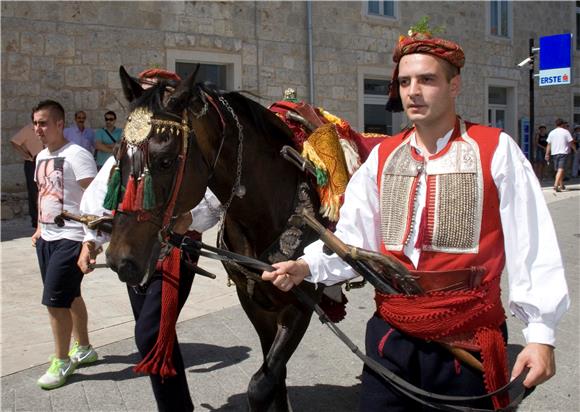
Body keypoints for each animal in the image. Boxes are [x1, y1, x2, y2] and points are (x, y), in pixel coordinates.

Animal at [107, 66, 326, 410]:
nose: (120, 260)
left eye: (166, 161)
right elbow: (275, 377)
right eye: (118, 156)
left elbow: (261, 385)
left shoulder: (301, 307)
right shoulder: (255, 302)